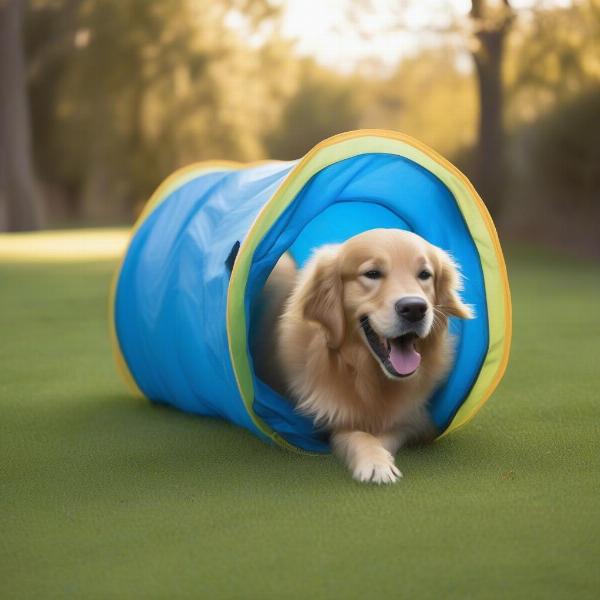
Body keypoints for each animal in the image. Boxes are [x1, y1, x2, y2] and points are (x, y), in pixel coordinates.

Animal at [253, 229, 474, 482]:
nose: (415, 308)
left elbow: (386, 433)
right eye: (372, 274)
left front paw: (380, 457)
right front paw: (374, 462)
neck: (367, 373)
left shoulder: (413, 419)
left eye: (425, 274)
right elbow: (357, 434)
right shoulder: (330, 417)